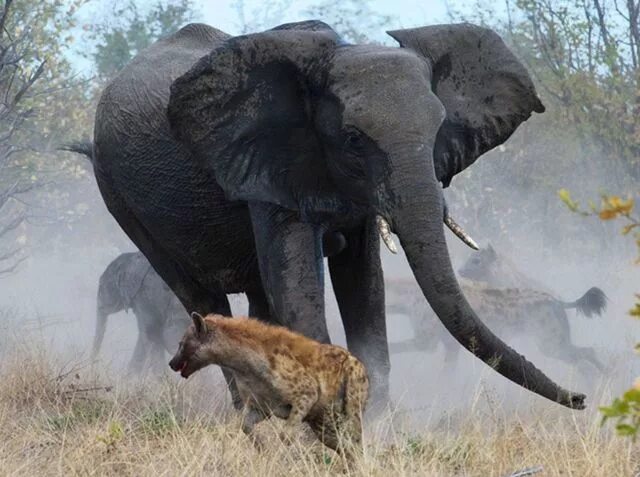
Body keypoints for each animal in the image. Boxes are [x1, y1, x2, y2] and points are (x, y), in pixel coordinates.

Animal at [69, 20, 584, 410]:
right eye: (353, 139)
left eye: (439, 130)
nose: (580, 400)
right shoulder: (270, 164)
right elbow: (299, 282)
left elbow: (365, 284)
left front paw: (372, 420)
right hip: (118, 196)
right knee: (201, 299)